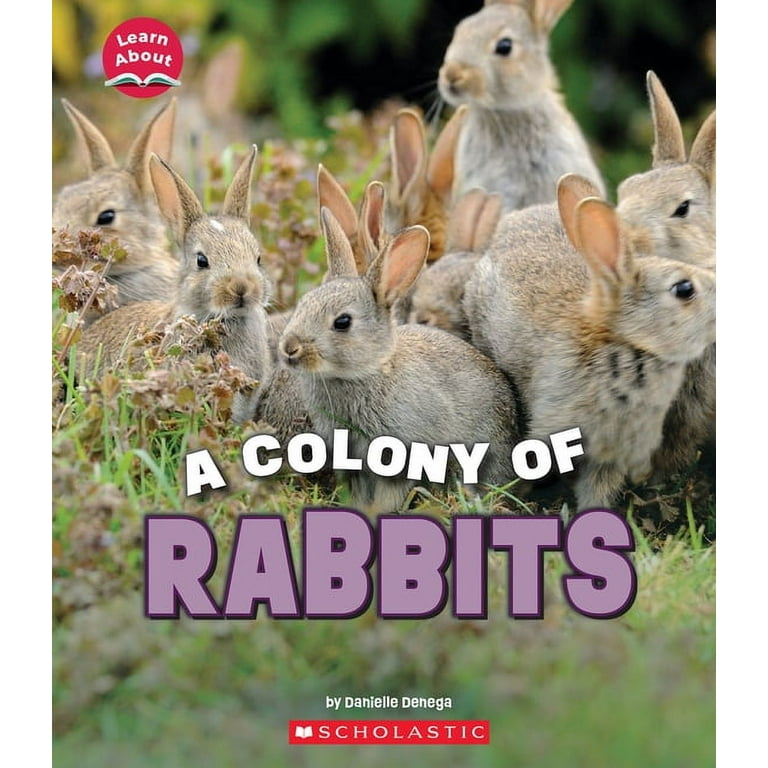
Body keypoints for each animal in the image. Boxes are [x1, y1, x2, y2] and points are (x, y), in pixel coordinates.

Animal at [277, 206, 520, 514]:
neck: (369, 370)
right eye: (302, 304)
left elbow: (388, 493)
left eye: (342, 322)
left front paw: (373, 514)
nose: (289, 348)